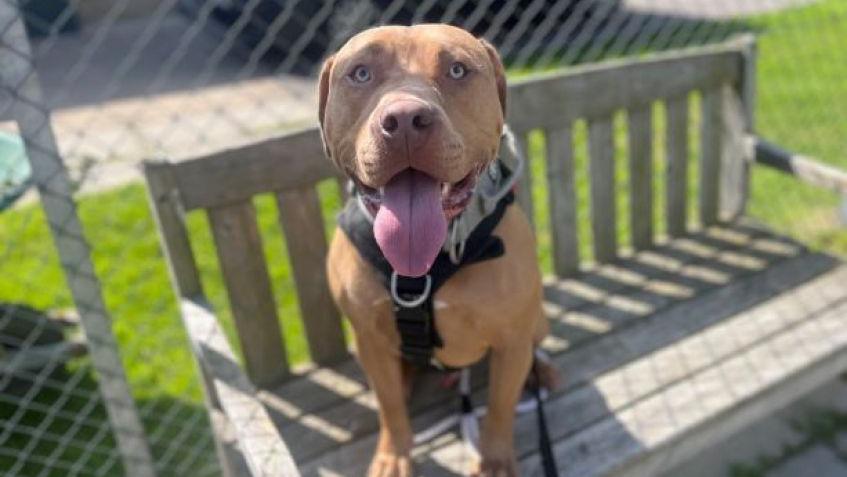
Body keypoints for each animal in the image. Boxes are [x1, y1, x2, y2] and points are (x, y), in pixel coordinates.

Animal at [320, 26, 548, 476]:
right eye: (360, 73)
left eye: (457, 70)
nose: (405, 121)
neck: (429, 264)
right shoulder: (369, 341)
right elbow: (389, 405)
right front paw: (394, 455)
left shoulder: (512, 341)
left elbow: (500, 407)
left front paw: (495, 460)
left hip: (537, 321)